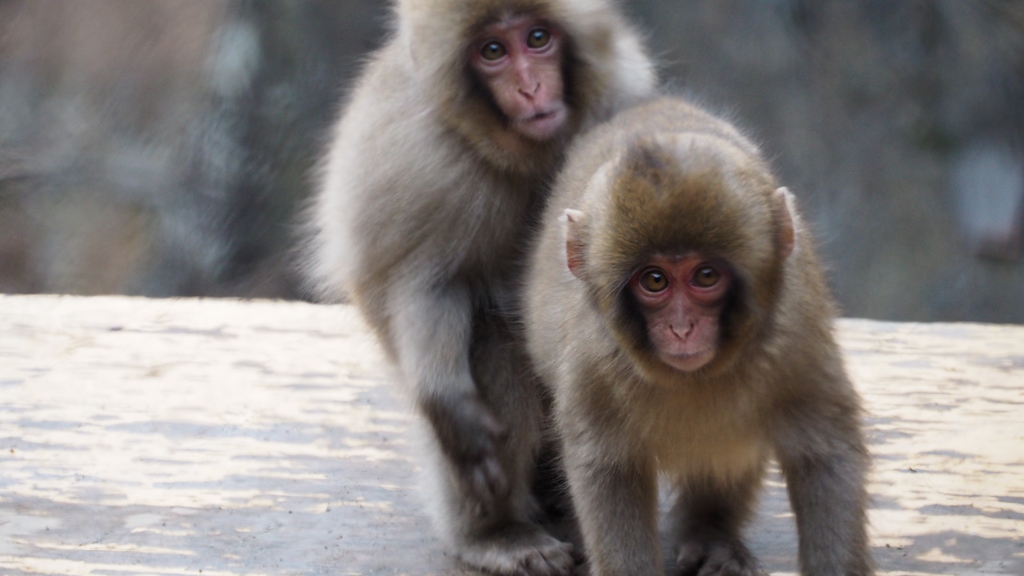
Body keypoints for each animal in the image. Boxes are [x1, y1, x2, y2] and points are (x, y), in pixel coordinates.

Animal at [303, 2, 655, 569]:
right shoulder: (428, 163)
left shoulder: (618, 102)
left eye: (538, 39)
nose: (531, 87)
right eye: (493, 51)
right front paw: (450, 404)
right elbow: (426, 282)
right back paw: (493, 534)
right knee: (495, 341)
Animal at [528, 95, 872, 573]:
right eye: (654, 281)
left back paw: (711, 535)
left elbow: (824, 455)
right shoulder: (593, 363)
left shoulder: (796, 335)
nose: (682, 327)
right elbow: (609, 471)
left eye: (705, 276)